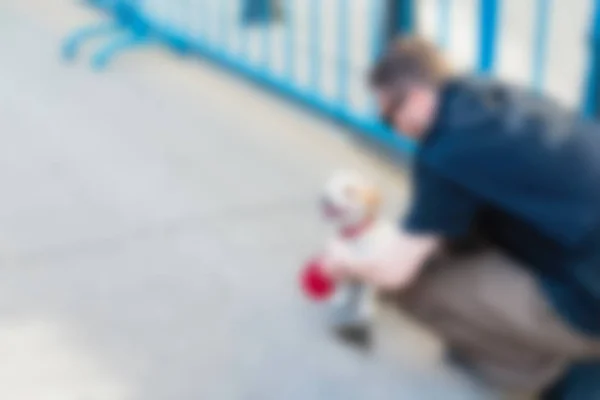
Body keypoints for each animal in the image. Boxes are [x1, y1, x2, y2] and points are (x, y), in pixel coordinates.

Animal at [318, 170, 398, 346]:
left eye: (349, 191)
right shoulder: (342, 265)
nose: (323, 198)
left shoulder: (370, 272)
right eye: (330, 183)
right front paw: (340, 296)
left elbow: (366, 294)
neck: (354, 236)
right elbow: (344, 285)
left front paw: (364, 308)